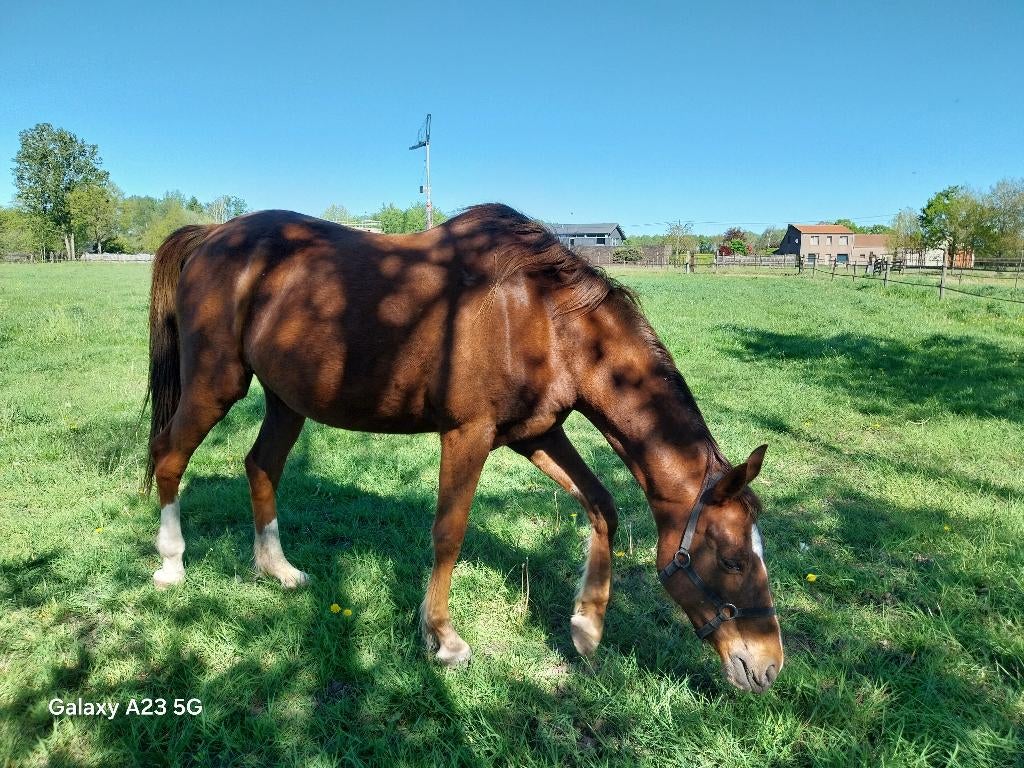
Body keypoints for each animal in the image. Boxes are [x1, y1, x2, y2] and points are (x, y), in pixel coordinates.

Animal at [144, 204, 783, 692]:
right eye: (732, 559)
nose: (768, 667)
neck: (542, 316)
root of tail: (211, 236)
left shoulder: (536, 434)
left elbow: (601, 505)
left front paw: (586, 628)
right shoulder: (468, 434)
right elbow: (448, 532)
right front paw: (444, 639)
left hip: (285, 400)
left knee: (261, 467)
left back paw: (277, 568)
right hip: (216, 384)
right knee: (169, 456)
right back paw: (171, 564)